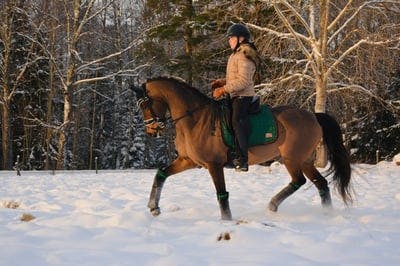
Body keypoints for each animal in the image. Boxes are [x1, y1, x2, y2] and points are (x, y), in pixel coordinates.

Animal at [136, 77, 352, 220]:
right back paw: (326, 213)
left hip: (292, 158)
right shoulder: (187, 161)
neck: (196, 119)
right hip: (305, 160)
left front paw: (226, 220)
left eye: (145, 104)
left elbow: (221, 193)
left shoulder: (214, 164)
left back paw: (273, 205)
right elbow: (161, 174)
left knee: (299, 181)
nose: (151, 131)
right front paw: (154, 207)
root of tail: (313, 116)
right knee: (321, 183)